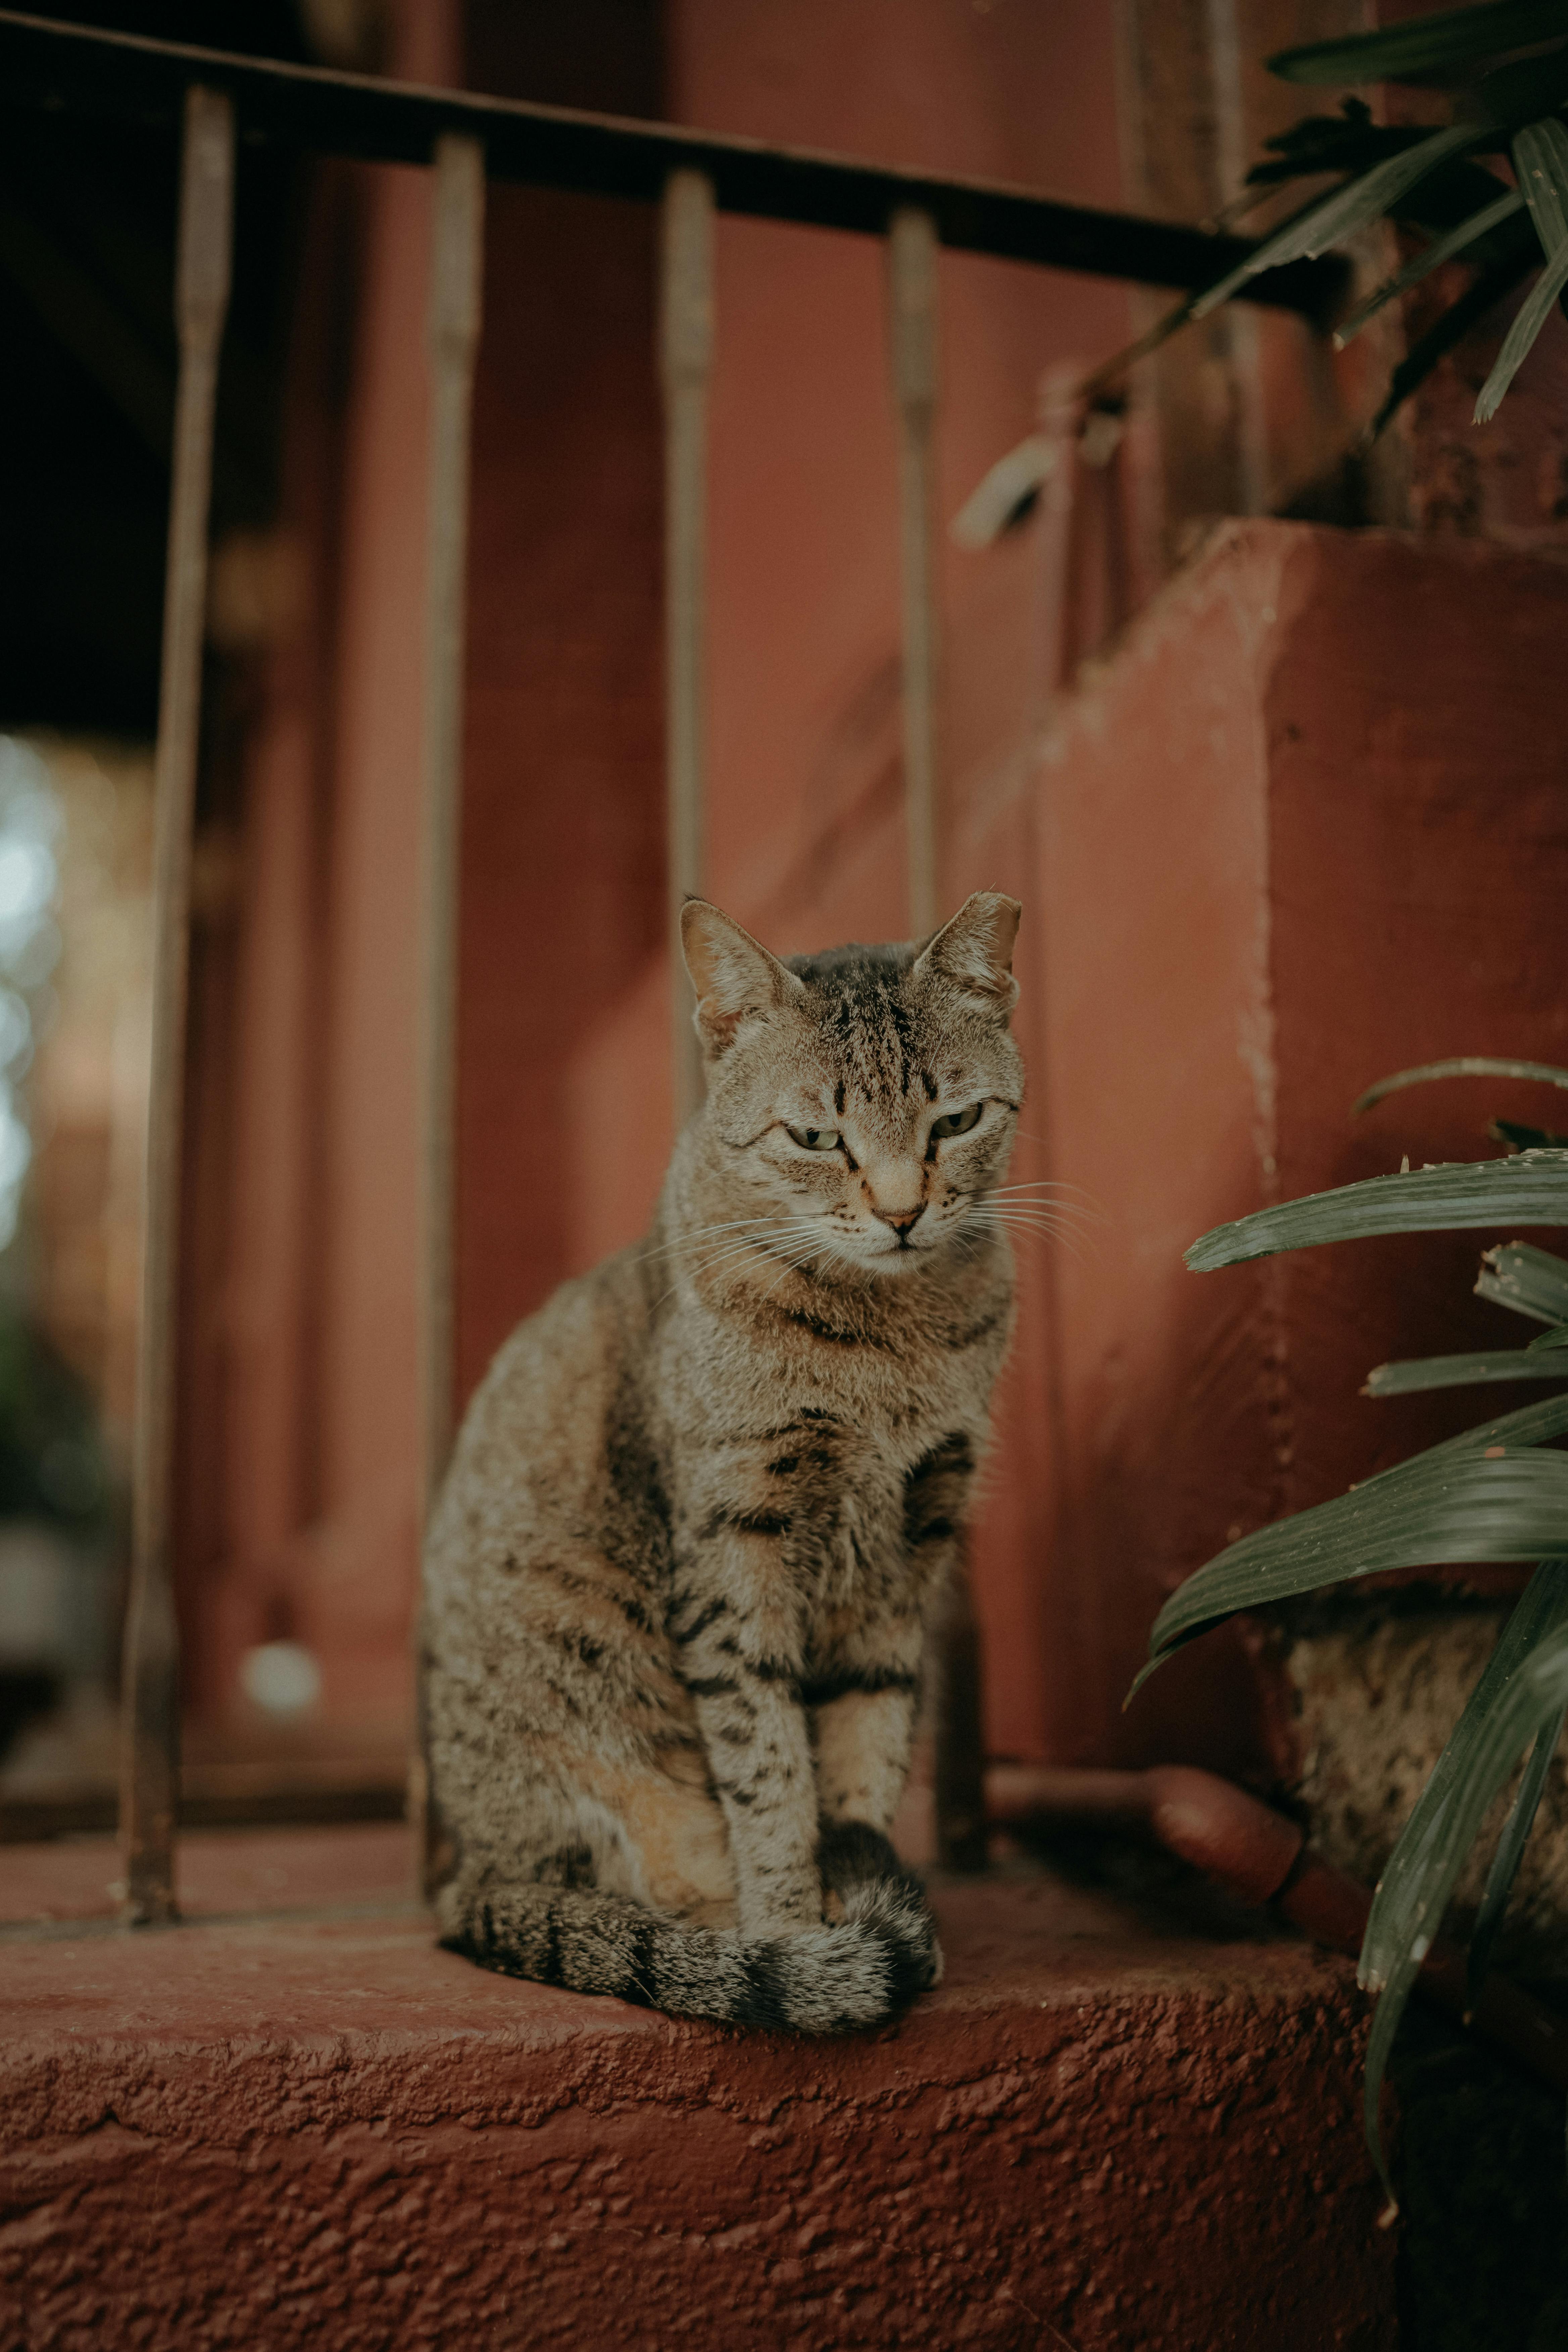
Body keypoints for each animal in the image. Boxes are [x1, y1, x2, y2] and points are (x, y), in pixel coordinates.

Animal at [423, 889, 1025, 2032]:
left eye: (955, 1123)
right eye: (817, 1136)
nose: (901, 1211)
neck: (891, 1346)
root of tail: (459, 1872)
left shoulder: (907, 1557)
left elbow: (865, 1751)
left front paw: (848, 1897)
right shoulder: (733, 1549)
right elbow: (770, 1764)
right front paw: (796, 1932)